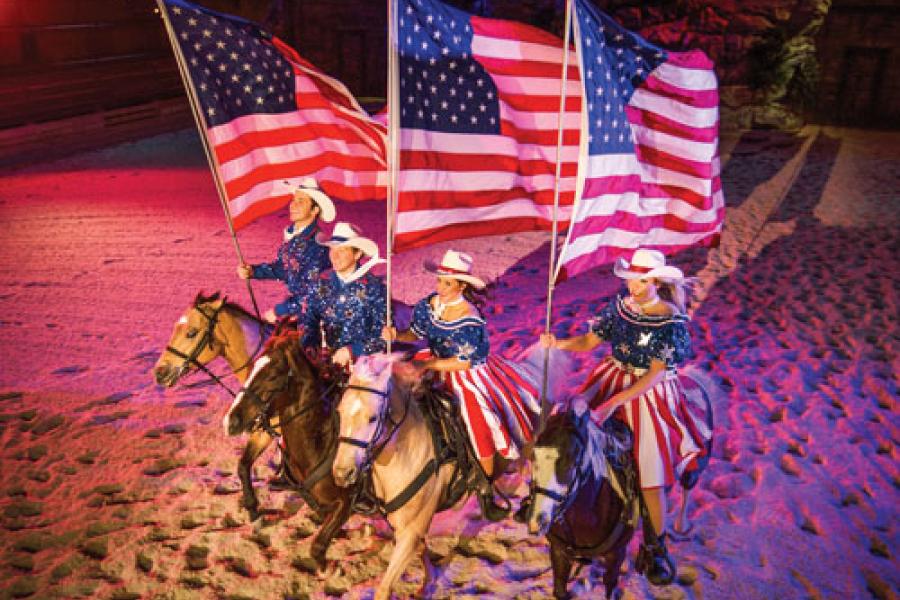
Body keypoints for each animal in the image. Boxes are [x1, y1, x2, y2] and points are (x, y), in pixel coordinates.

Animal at [223, 332, 354, 572]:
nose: (230, 421)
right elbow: (243, 464)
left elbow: (320, 542)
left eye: (273, 376)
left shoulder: (346, 500)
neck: (322, 440)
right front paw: (253, 509)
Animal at [330, 346, 568, 600]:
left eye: (372, 418)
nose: (342, 473)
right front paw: (428, 584)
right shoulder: (408, 529)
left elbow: (384, 588)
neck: (408, 451)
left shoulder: (410, 532)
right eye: (340, 412)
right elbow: (422, 551)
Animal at [524, 404, 636, 600]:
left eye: (573, 459)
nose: (537, 520)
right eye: (533, 455)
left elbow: (610, 585)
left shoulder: (616, 555)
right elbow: (560, 589)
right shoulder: (559, 553)